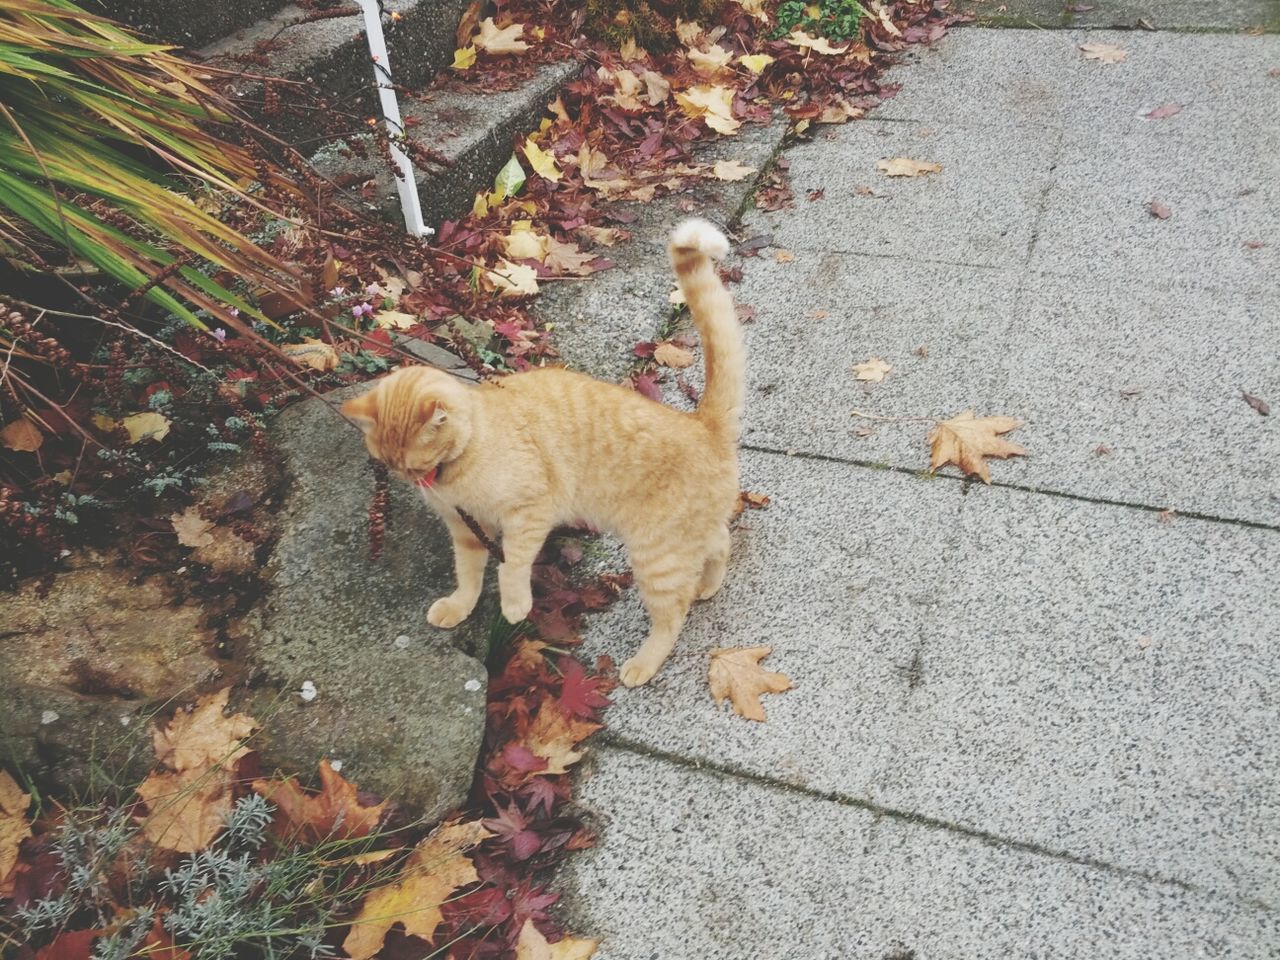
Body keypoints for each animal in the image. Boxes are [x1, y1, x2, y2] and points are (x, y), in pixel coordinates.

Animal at [343, 220, 742, 686]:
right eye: (392, 467)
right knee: (720, 542)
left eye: (417, 465)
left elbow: (511, 565)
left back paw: (643, 662)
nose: (416, 483)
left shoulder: (530, 513)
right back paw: (709, 585)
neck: (465, 459)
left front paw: (515, 605)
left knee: (673, 613)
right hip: (682, 539)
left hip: (656, 555)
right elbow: (468, 573)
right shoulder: (467, 530)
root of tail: (702, 423)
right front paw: (460, 605)